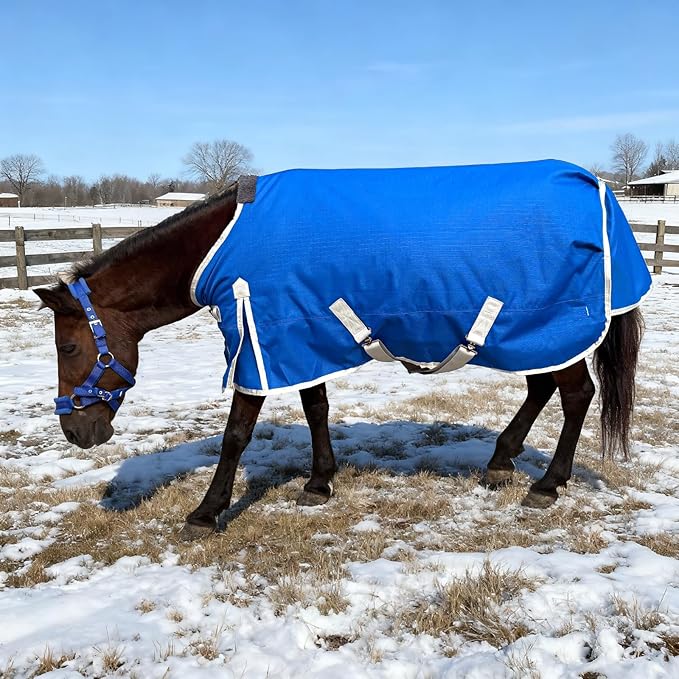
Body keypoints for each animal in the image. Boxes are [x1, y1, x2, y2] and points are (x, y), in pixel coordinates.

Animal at [35, 162, 648, 539]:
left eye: (69, 345)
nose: (77, 432)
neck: (224, 244)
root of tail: (595, 185)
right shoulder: (301, 337)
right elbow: (316, 409)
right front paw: (319, 481)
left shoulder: (262, 340)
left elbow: (237, 433)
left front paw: (206, 512)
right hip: (533, 336)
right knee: (544, 387)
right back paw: (501, 461)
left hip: (552, 328)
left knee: (578, 395)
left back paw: (548, 484)